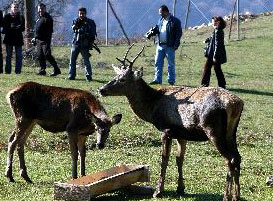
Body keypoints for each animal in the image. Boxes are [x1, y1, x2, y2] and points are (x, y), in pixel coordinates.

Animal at [99, 44, 243, 201]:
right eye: (115, 76)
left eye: (123, 79)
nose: (101, 89)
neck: (152, 107)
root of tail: (236, 104)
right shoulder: (182, 134)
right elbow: (179, 159)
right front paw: (180, 189)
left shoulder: (166, 129)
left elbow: (164, 159)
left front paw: (158, 191)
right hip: (231, 133)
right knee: (237, 157)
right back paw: (236, 195)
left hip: (213, 129)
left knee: (229, 159)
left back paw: (226, 196)